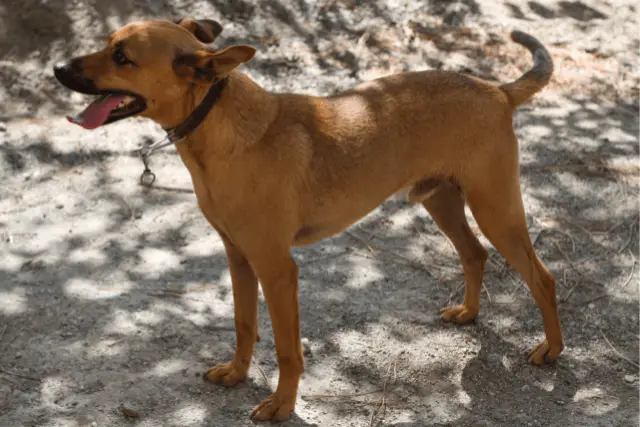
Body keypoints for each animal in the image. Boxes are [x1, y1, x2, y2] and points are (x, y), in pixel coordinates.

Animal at [53, 18, 564, 422]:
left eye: (122, 57)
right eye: (108, 43)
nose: (57, 69)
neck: (220, 127)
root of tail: (496, 90)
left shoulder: (277, 270)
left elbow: (286, 348)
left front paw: (282, 405)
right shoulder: (239, 258)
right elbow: (243, 324)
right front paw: (237, 373)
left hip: (496, 211)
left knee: (543, 278)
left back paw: (551, 350)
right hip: (443, 203)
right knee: (474, 255)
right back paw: (469, 313)